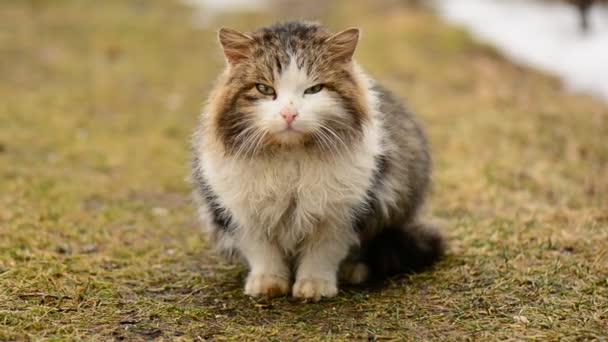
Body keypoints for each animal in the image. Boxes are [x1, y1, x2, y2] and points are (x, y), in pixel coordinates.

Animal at [192, 20, 444, 302]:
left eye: (314, 89)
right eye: (264, 89)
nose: (289, 114)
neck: (291, 157)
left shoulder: (340, 215)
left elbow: (322, 255)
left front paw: (314, 287)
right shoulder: (243, 214)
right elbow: (264, 254)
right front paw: (268, 285)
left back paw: (352, 271)